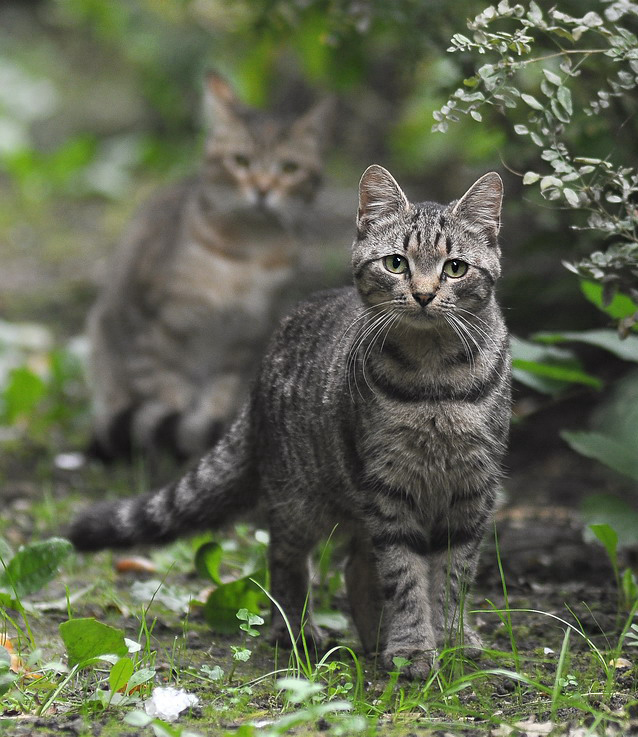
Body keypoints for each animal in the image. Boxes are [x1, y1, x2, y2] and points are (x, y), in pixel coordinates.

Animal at [70, 165, 512, 680]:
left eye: (455, 268)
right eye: (396, 263)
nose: (423, 295)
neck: (435, 380)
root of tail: (259, 375)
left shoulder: (473, 492)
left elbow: (453, 578)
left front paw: (454, 640)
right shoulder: (389, 490)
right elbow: (404, 577)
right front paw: (413, 648)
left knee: (357, 568)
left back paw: (372, 641)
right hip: (301, 500)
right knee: (286, 560)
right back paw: (300, 633)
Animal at [87, 70, 336, 460]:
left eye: (289, 168)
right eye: (240, 161)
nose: (262, 190)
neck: (246, 254)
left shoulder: (244, 335)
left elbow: (219, 395)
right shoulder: (151, 327)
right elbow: (164, 393)